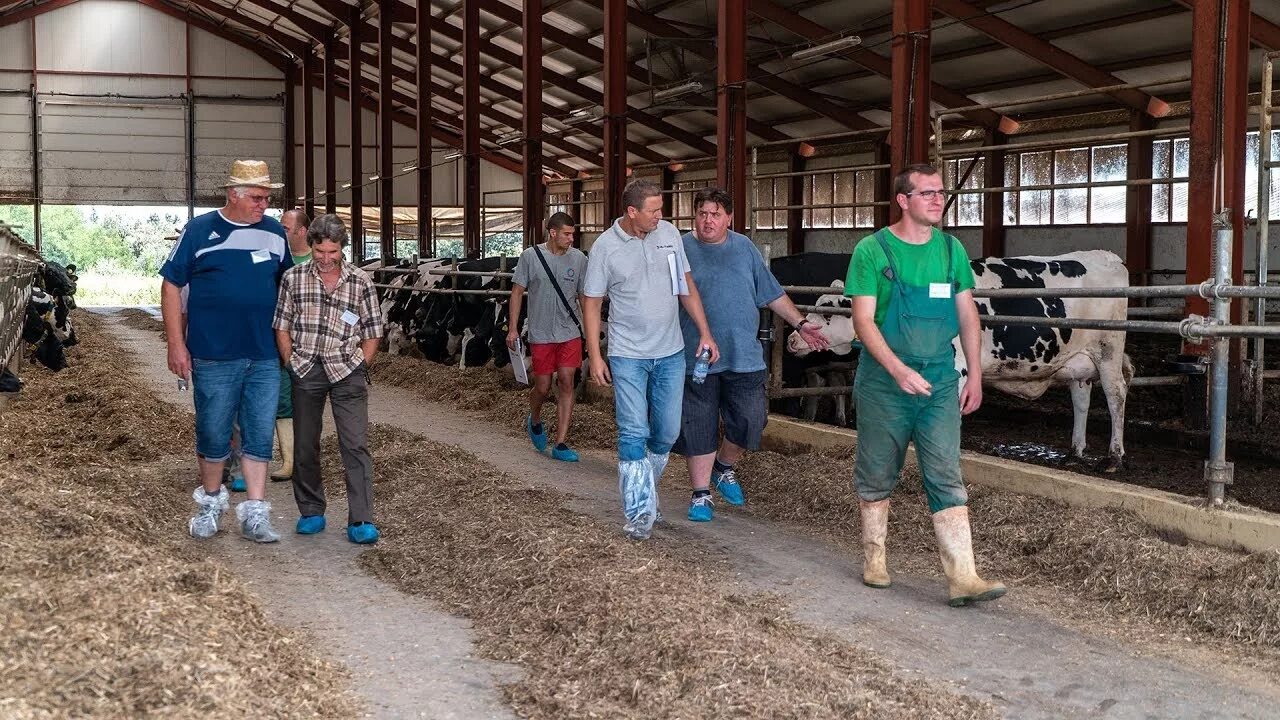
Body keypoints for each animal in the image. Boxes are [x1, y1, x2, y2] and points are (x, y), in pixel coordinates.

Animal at [788, 248, 1131, 471]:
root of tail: (1108, 256)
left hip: (1109, 350)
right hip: (1079, 362)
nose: (793, 338)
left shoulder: (958, 368)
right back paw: (1075, 451)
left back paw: (1114, 457)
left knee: (1116, 395)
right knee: (1081, 400)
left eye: (828, 311)